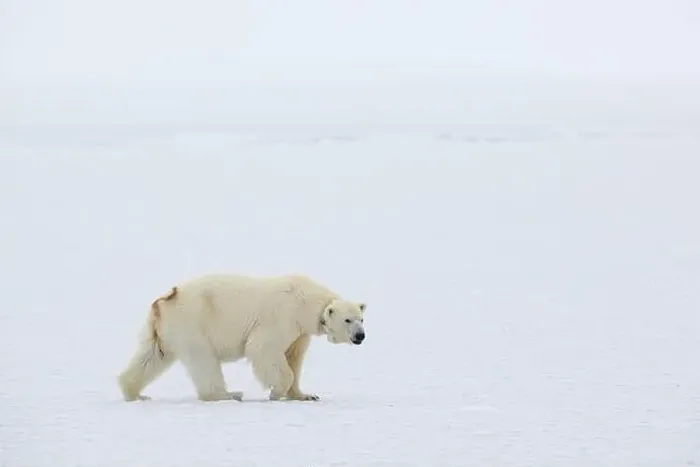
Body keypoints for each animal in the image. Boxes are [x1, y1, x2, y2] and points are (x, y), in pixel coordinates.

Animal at [117, 273, 367, 402]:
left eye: (361, 318)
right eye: (348, 320)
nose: (361, 336)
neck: (305, 300)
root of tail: (166, 298)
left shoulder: (300, 332)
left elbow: (294, 358)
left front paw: (305, 395)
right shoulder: (283, 316)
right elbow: (264, 348)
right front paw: (276, 392)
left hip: (164, 328)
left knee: (151, 356)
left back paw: (134, 393)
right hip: (193, 321)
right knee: (203, 359)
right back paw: (228, 394)